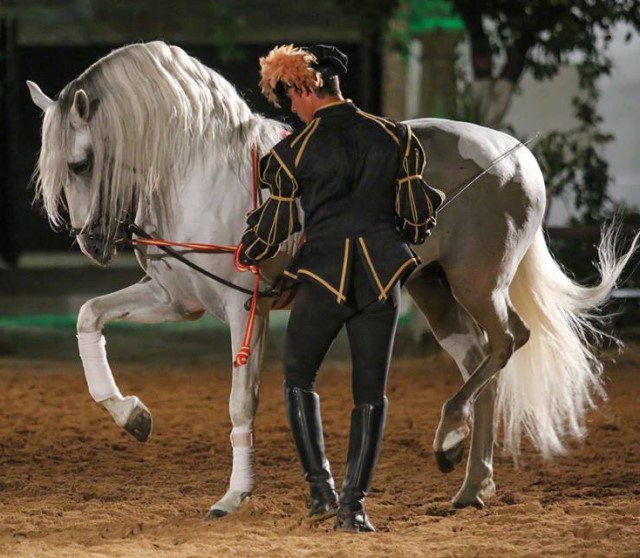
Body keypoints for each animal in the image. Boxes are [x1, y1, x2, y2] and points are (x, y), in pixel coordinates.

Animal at [27, 41, 638, 516]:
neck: (202, 175)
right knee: (480, 358)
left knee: (508, 341)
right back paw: (470, 482)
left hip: (476, 281)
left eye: (80, 163)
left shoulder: (243, 307)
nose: (93, 243)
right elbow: (89, 316)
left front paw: (233, 496)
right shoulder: (176, 299)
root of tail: (514, 157)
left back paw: (449, 438)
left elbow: (241, 402)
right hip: (433, 289)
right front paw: (131, 415)